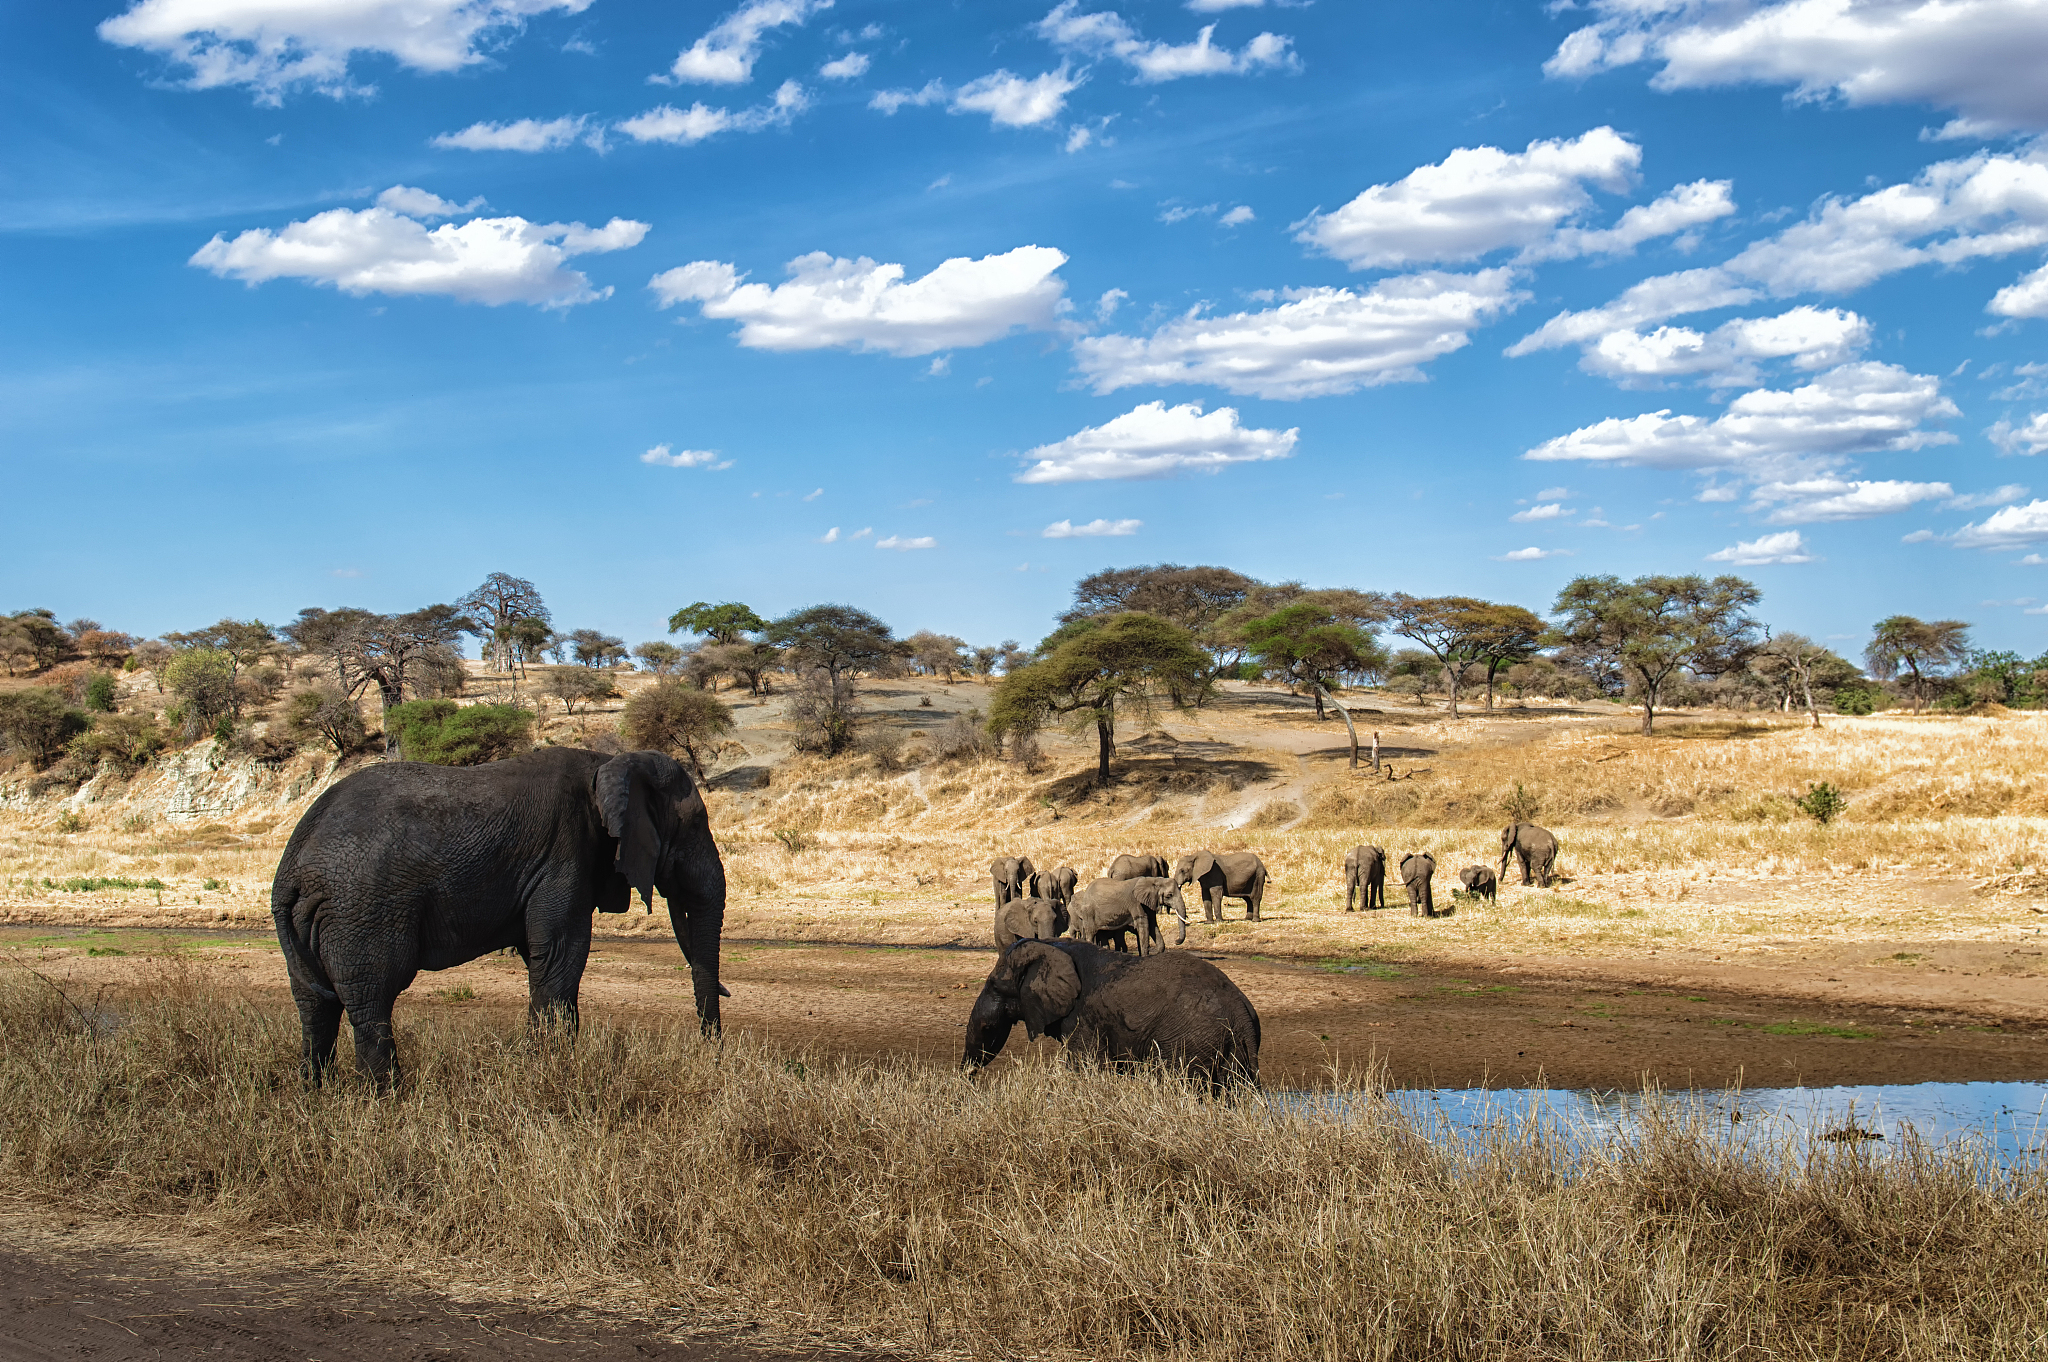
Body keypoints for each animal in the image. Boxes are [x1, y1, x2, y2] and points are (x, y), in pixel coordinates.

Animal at [270, 748, 726, 1087]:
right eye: (694, 825)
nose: (711, 1055)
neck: (609, 762)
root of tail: (292, 865)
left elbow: (543, 956)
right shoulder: (564, 853)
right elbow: (562, 953)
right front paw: (550, 1073)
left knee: (315, 1005)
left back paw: (317, 1092)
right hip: (362, 910)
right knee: (372, 998)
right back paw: (387, 1098)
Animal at [963, 939, 1260, 1092]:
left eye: (995, 985)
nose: (968, 1079)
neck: (1054, 946)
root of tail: (1242, 1012)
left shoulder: (1083, 1019)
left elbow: (1085, 1067)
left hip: (1190, 1041)